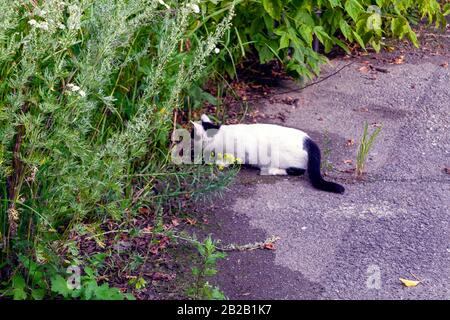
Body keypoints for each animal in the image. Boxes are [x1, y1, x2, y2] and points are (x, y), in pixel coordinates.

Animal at [192, 115, 344, 195]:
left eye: (192, 134)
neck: (217, 135)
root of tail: (309, 141)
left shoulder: (239, 151)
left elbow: (228, 160)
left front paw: (219, 163)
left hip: (279, 156)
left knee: (298, 171)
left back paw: (270, 170)